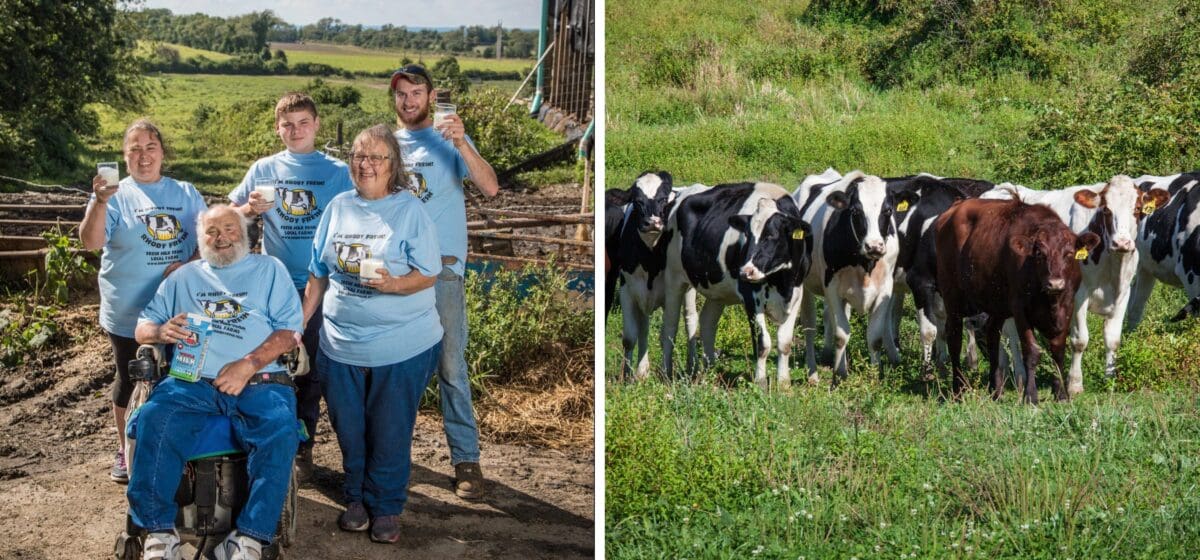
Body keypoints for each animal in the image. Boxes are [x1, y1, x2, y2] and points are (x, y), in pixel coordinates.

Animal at [662, 182, 811, 388]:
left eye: (771, 236)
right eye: (747, 234)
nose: (745, 271)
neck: (781, 281)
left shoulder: (796, 294)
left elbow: (785, 342)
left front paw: (783, 383)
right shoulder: (751, 298)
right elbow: (763, 342)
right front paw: (760, 382)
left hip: (717, 291)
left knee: (707, 321)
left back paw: (710, 369)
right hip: (674, 276)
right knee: (670, 324)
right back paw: (667, 373)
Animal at [792, 169, 912, 383]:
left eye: (888, 211)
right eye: (856, 211)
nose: (874, 246)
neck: (865, 264)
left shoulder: (885, 289)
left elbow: (874, 337)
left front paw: (874, 376)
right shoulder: (831, 288)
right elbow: (842, 334)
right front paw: (839, 375)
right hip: (805, 285)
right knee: (810, 326)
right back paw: (813, 373)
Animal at [931, 197, 1099, 402]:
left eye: (1069, 254)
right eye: (1039, 254)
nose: (1055, 283)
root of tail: (954, 208)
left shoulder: (1067, 305)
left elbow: (1058, 350)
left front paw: (1061, 394)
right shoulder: (1020, 309)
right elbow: (1031, 350)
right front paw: (1031, 396)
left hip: (997, 305)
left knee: (991, 336)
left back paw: (995, 391)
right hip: (952, 296)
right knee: (954, 339)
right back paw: (958, 390)